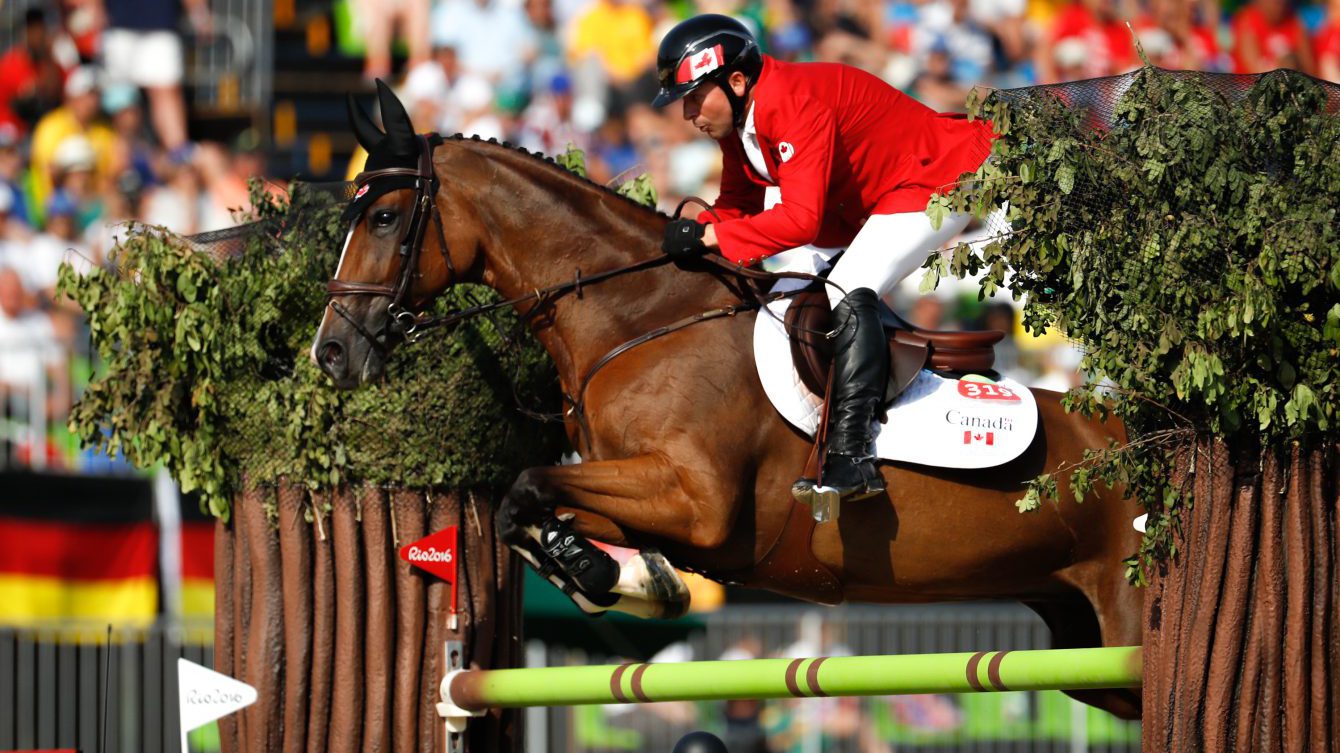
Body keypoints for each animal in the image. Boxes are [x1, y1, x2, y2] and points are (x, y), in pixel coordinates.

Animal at [310, 83, 1141, 712]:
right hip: (1084, 640)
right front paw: (622, 577)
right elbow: (532, 506)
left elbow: (526, 485)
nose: (331, 352)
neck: (641, 317)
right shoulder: (648, 495)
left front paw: (608, 575)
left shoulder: (698, 502)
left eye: (383, 217)